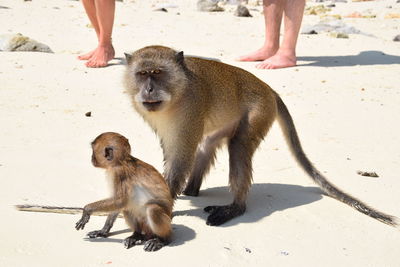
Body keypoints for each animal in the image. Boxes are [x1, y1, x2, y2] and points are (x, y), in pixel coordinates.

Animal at [123, 46, 398, 228]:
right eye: (142, 74)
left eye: (158, 73)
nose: (148, 89)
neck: (177, 94)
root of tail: (268, 88)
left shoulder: (190, 111)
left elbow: (180, 159)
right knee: (208, 145)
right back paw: (192, 190)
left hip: (260, 111)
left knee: (239, 147)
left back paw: (235, 207)